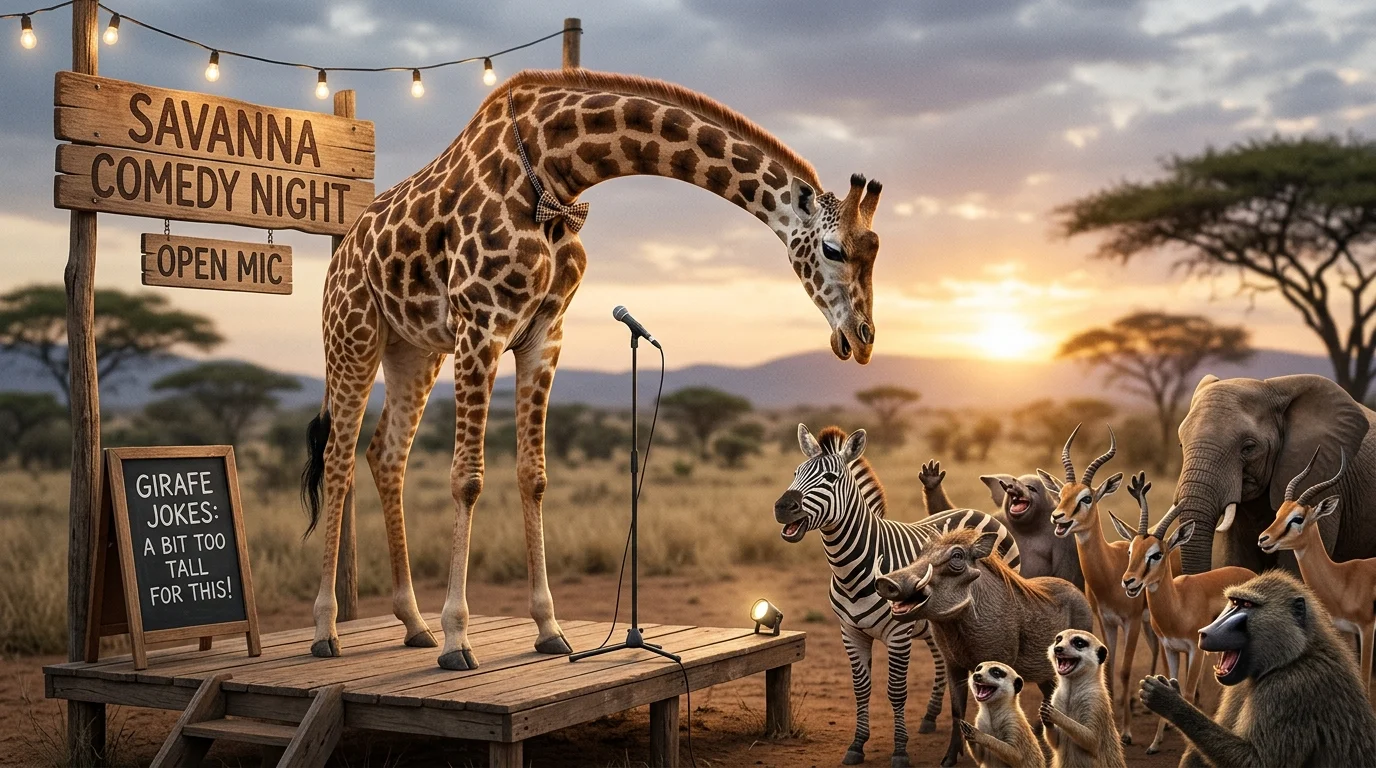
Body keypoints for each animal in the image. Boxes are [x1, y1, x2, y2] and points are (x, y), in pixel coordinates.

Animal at [301, 69, 884, 670]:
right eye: (834, 249)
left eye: (875, 249)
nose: (863, 339)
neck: (556, 174)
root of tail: (339, 255)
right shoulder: (481, 324)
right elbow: (467, 478)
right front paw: (458, 639)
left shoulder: (543, 334)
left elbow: (533, 476)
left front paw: (549, 629)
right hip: (352, 336)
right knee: (339, 460)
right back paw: (327, 630)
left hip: (413, 350)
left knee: (385, 455)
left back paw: (414, 623)